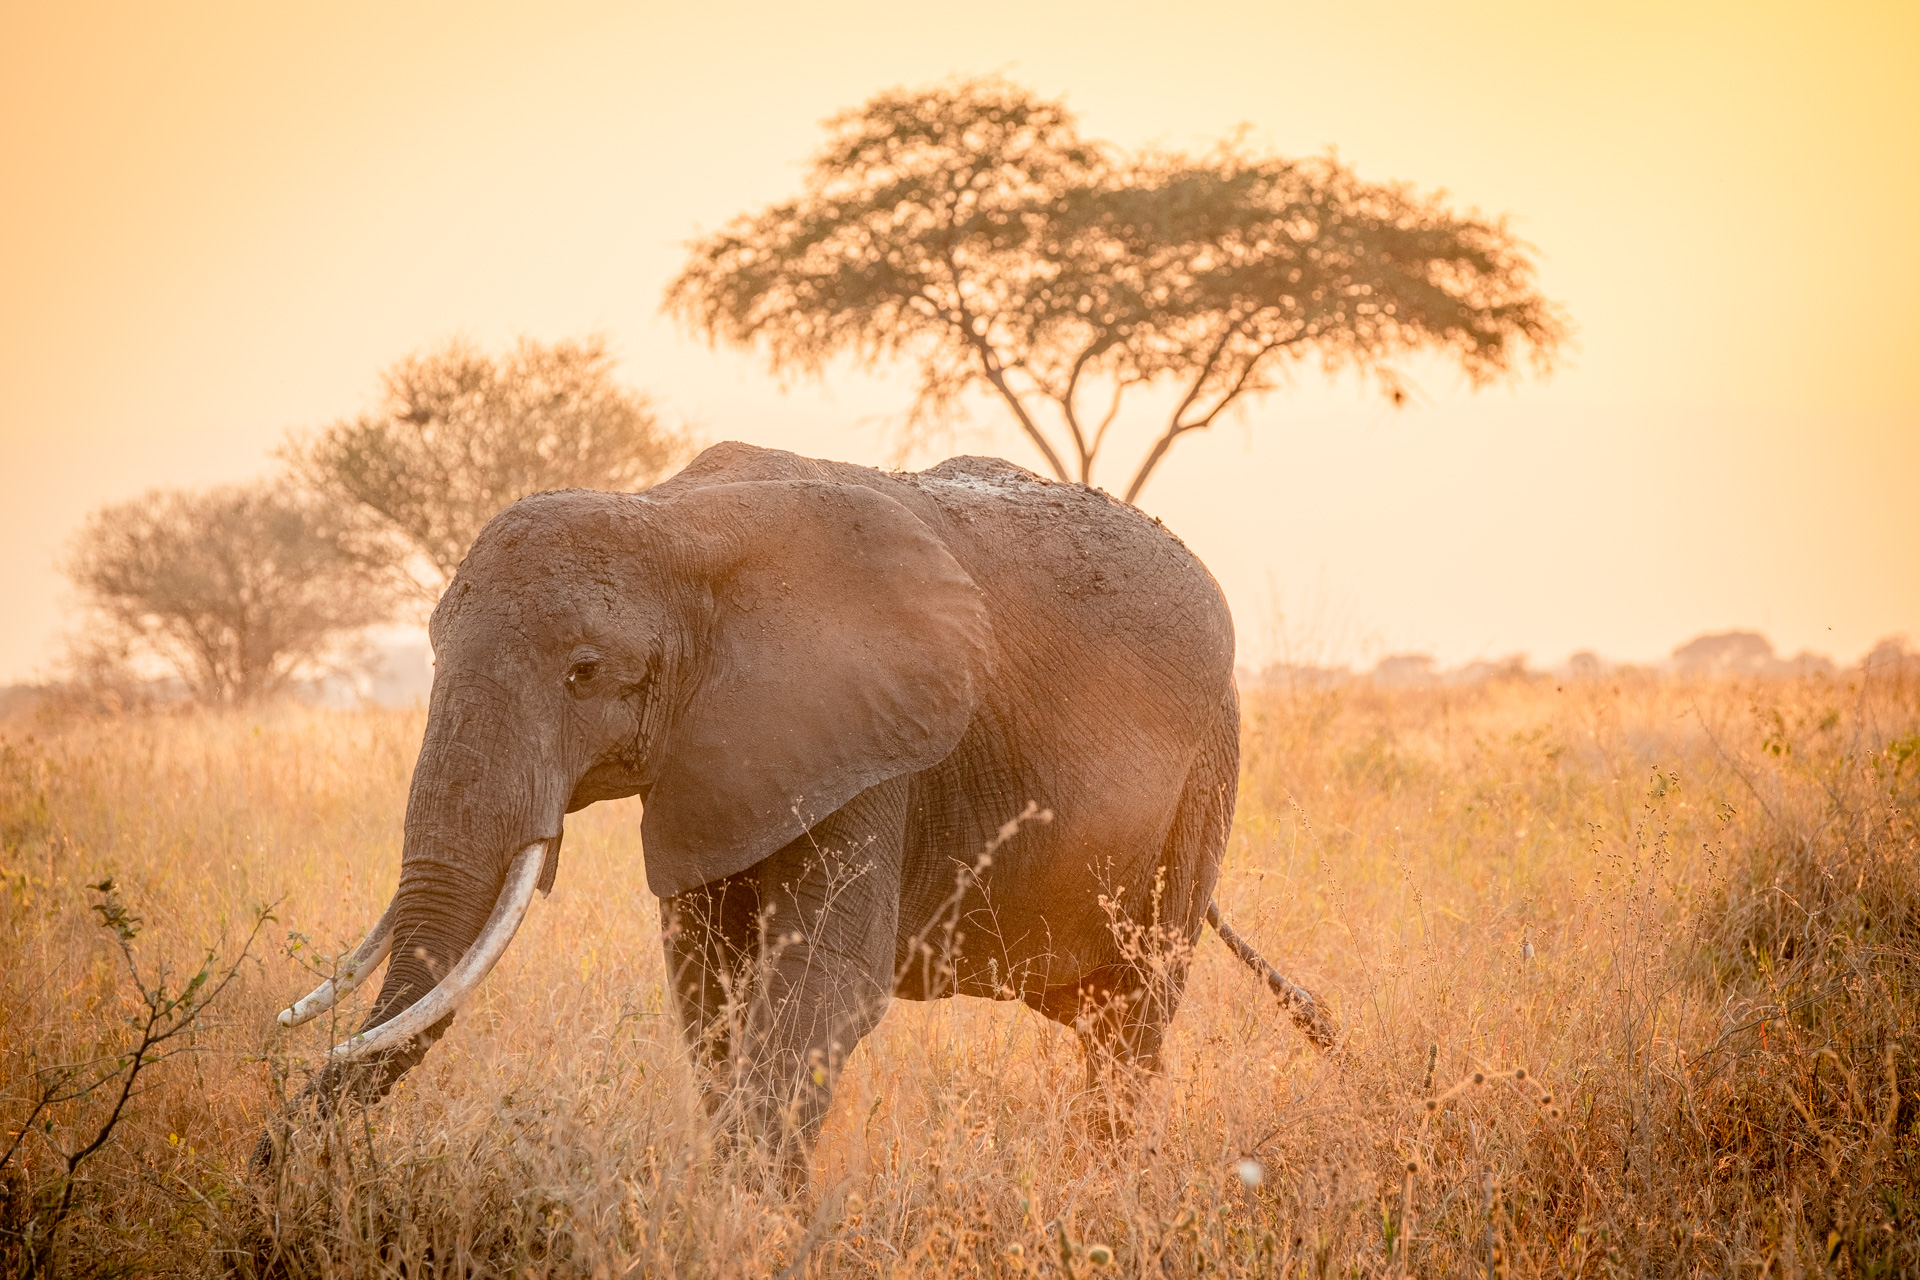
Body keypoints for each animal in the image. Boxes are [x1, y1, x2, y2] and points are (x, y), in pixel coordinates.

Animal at [263, 445, 1328, 1189]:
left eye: (585, 674)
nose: (269, 1164)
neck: (669, 526)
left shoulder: (874, 746)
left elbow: (820, 984)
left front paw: (750, 1221)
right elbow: (709, 988)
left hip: (1206, 772)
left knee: (1131, 1017)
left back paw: (1104, 1194)